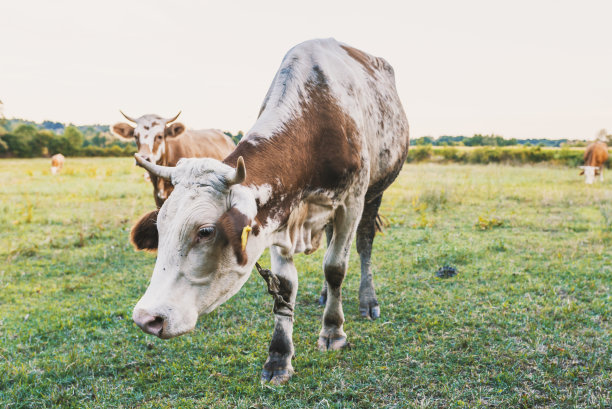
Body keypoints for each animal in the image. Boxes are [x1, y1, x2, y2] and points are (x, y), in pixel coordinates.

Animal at [130, 38, 412, 382]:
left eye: (205, 231)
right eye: (160, 228)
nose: (147, 318)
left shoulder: (353, 200)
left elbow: (336, 266)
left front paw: (333, 331)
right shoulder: (278, 215)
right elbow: (285, 286)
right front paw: (279, 356)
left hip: (376, 192)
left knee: (363, 243)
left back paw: (366, 300)